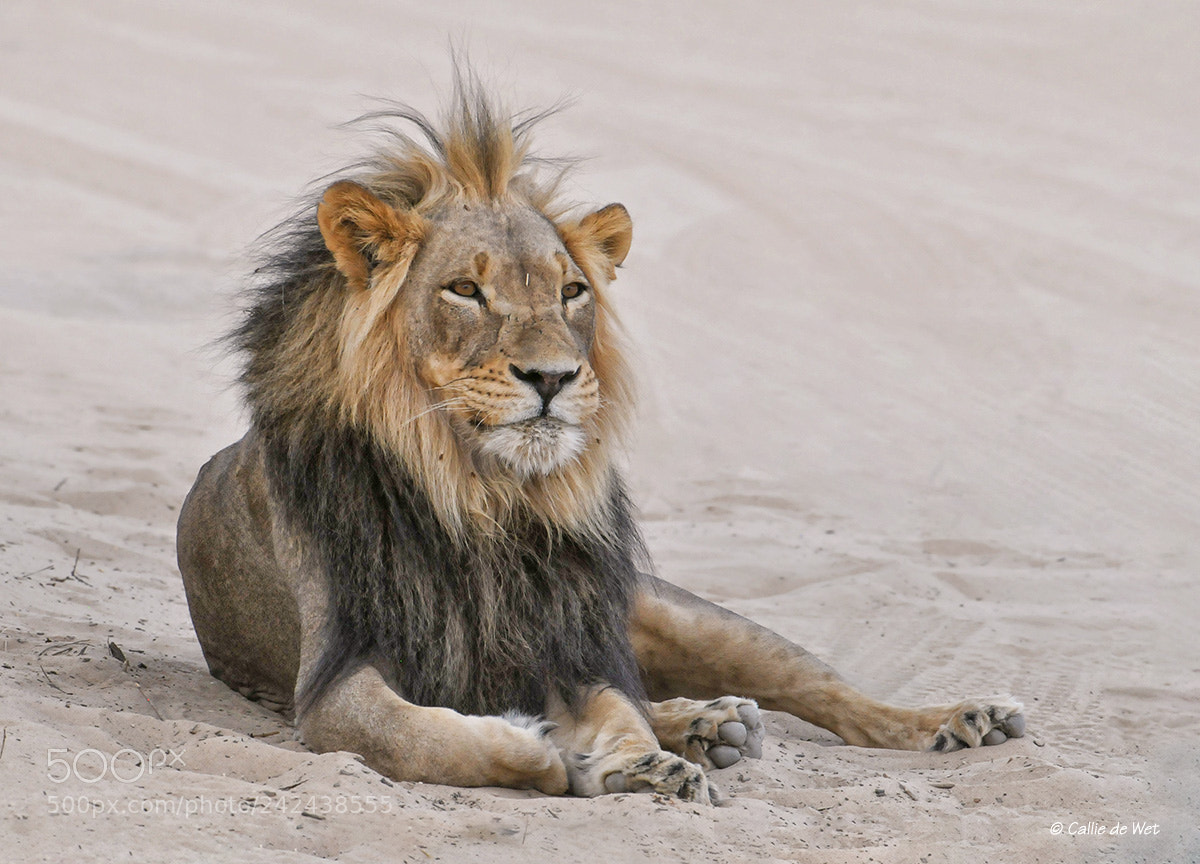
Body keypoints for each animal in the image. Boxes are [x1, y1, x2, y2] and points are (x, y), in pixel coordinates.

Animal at [177, 73, 1024, 805]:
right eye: (465, 289)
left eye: (571, 291)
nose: (552, 377)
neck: (480, 497)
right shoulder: (333, 676)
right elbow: (425, 736)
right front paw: (546, 747)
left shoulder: (571, 640)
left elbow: (620, 709)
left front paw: (643, 765)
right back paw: (712, 724)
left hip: (678, 614)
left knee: (816, 685)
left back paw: (950, 721)